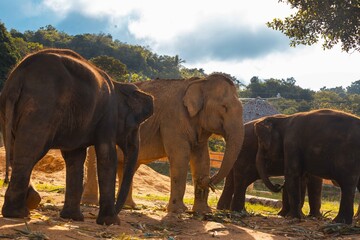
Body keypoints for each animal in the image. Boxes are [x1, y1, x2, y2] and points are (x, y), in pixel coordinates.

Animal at [0, 48, 153, 225]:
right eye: (135, 127)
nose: (118, 213)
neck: (118, 85)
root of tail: (19, 76)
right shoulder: (108, 116)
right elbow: (106, 156)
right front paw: (110, 222)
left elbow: (76, 157)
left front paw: (73, 218)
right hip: (42, 108)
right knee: (30, 152)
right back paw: (18, 213)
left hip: (8, 110)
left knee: (15, 151)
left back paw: (27, 205)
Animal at [81, 74, 245, 213]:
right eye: (224, 107)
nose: (207, 181)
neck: (200, 81)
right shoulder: (172, 120)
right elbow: (180, 156)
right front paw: (178, 211)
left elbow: (203, 159)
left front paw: (203, 212)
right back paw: (91, 203)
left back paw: (129, 206)